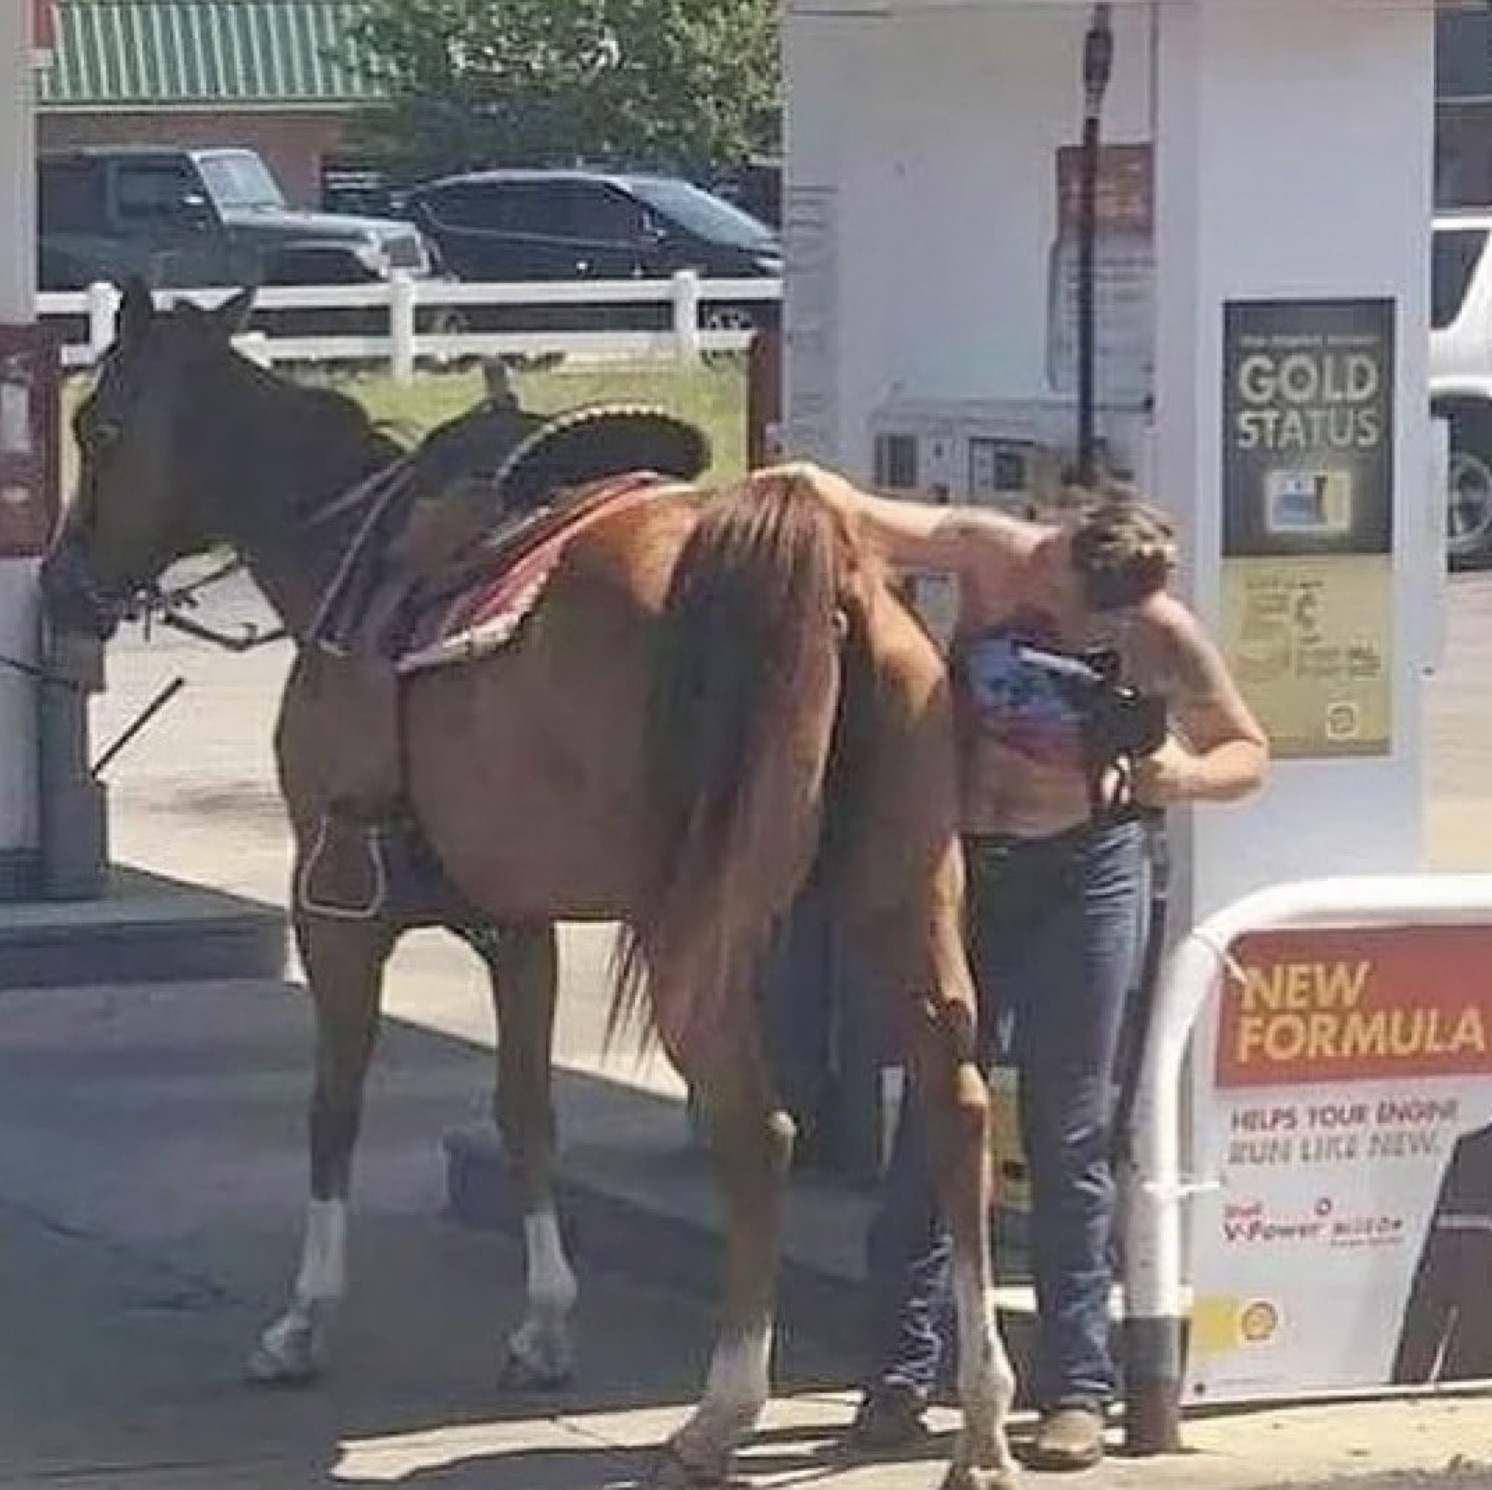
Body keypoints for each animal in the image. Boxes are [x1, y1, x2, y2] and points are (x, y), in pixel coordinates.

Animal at [43, 281, 1026, 1490]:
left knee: (757, 1130)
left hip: (698, 928)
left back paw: (719, 1412)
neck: (345, 560)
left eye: (99, 428)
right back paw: (980, 1416)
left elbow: (335, 1106)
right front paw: (546, 1324)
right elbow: (526, 1111)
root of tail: (818, 569)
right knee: (955, 1102)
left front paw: (303, 1319)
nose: (62, 585)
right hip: (902, 896)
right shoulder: (520, 925)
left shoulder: (334, 908)